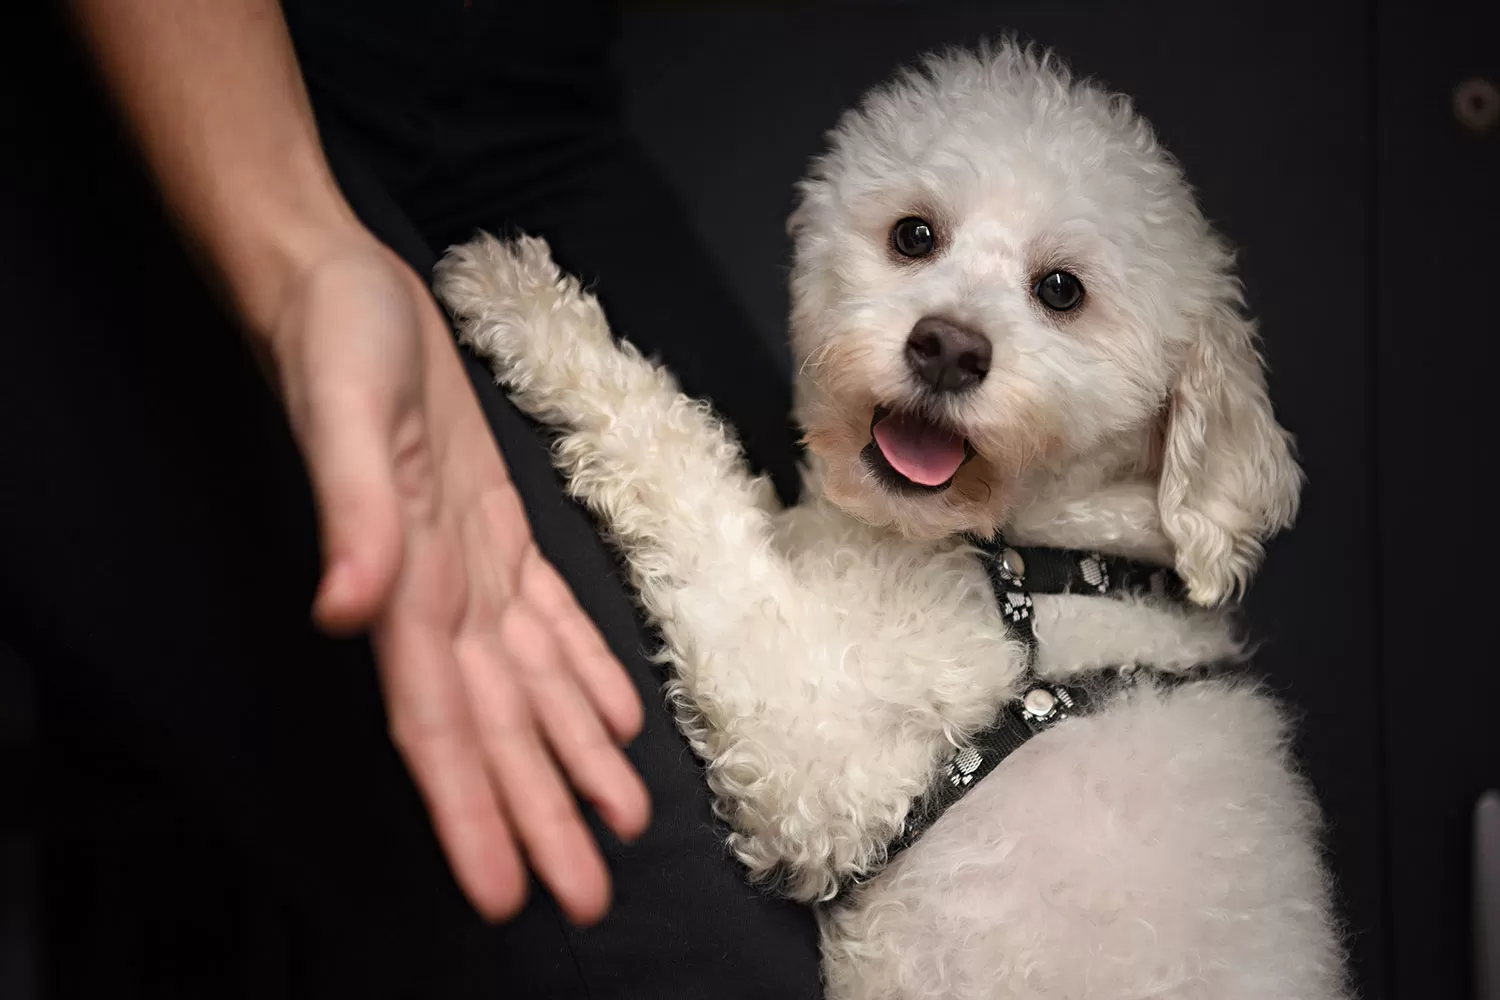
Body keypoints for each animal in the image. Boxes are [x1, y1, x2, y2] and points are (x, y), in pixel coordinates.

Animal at [435, 43, 1350, 1000]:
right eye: (914, 235)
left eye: (1062, 290)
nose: (947, 347)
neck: (1031, 561)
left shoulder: (821, 764)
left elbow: (687, 474)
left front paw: (527, 312)